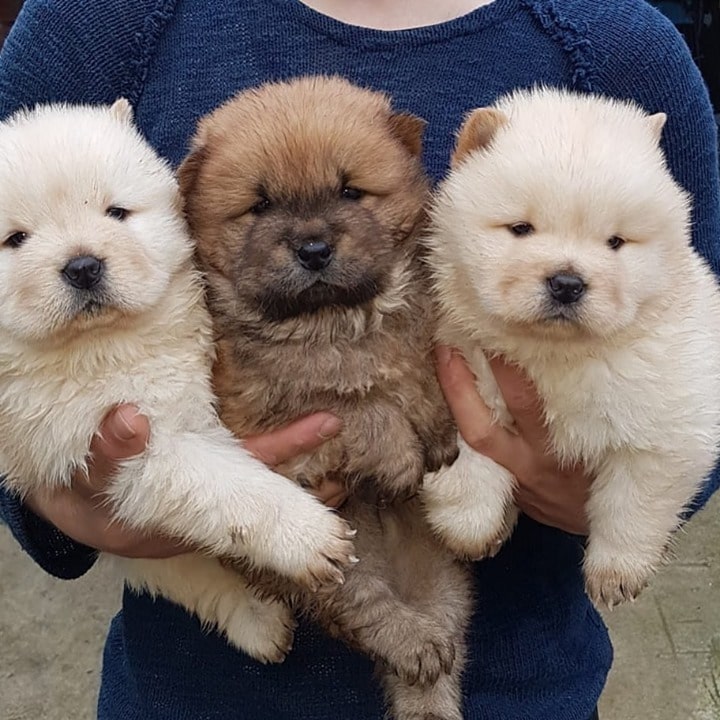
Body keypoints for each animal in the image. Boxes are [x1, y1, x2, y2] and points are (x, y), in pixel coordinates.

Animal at [0, 100, 358, 660]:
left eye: (117, 213)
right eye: (15, 239)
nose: (83, 266)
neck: (105, 347)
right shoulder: (118, 448)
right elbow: (226, 485)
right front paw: (308, 535)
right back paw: (259, 621)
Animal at [181, 77, 472, 720]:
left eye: (349, 191)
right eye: (260, 205)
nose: (313, 248)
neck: (334, 322)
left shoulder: (419, 334)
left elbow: (419, 370)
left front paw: (439, 431)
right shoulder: (269, 429)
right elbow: (353, 407)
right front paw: (401, 452)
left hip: (439, 578)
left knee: (437, 649)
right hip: (334, 554)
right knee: (364, 609)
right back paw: (412, 643)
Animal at [422, 87, 720, 608]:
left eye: (616, 242)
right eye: (521, 229)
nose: (566, 283)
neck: (552, 356)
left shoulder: (670, 425)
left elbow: (633, 501)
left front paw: (615, 573)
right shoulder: (461, 373)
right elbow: (469, 461)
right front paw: (471, 529)